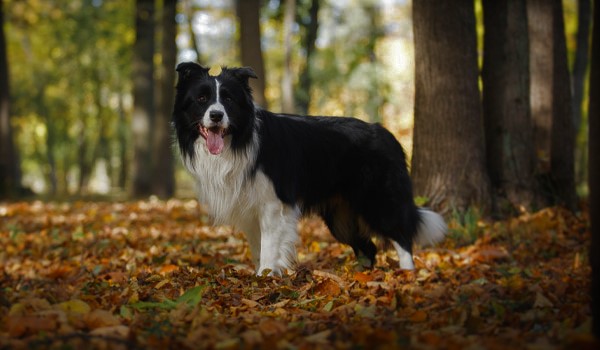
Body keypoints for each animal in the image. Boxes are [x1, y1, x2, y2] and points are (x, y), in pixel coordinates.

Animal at [172, 63, 446, 276]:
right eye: (202, 99)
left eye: (228, 99)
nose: (216, 116)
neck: (239, 140)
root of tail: (385, 132)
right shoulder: (249, 208)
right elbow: (257, 247)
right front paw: (260, 275)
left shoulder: (273, 204)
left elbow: (269, 246)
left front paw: (265, 277)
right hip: (341, 217)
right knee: (368, 247)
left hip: (377, 199)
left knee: (402, 236)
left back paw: (407, 274)